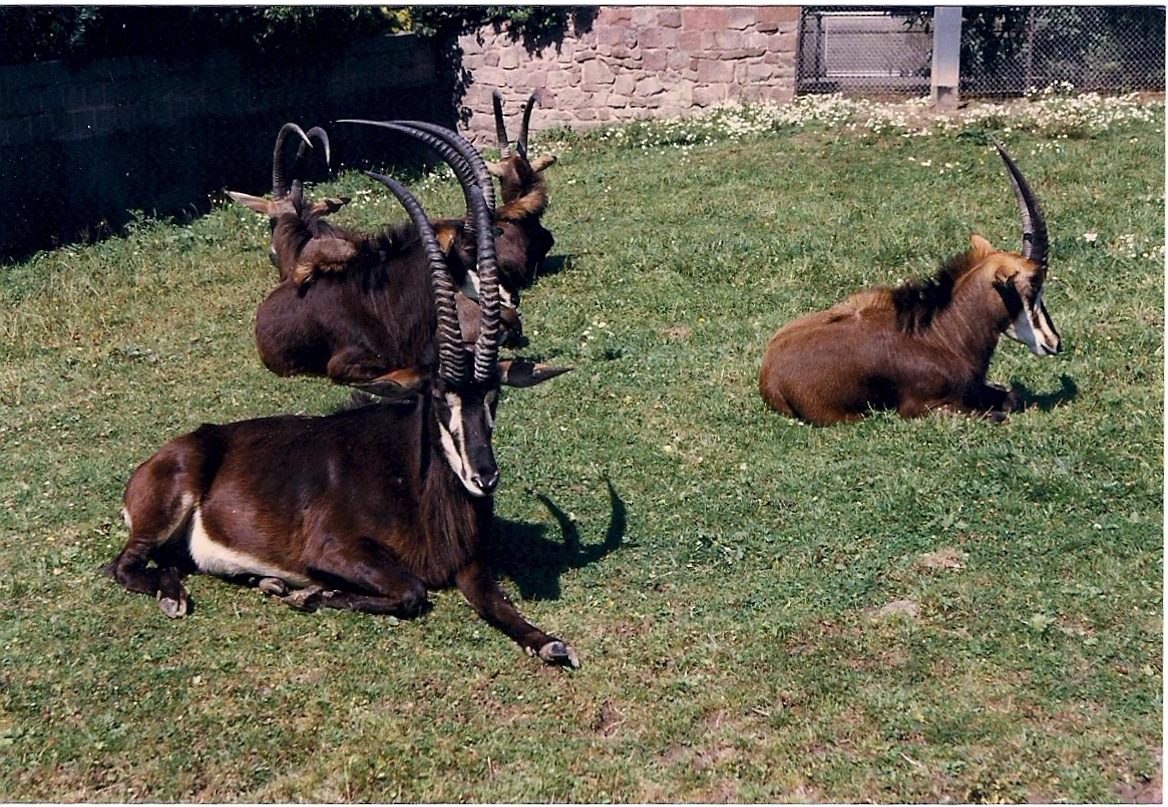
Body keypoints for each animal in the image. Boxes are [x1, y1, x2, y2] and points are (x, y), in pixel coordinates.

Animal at [104, 171, 580, 667]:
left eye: (494, 396)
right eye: (436, 396)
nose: (484, 477)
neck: (410, 479)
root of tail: (166, 453)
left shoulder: (470, 566)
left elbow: (499, 605)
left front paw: (548, 641)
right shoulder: (334, 549)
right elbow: (412, 591)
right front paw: (305, 593)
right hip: (164, 511)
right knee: (122, 564)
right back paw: (177, 597)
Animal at [759, 141, 1061, 425]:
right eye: (1033, 284)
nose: (1054, 343)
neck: (942, 333)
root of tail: (768, 371)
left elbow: (1012, 396)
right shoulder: (923, 408)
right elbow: (999, 414)